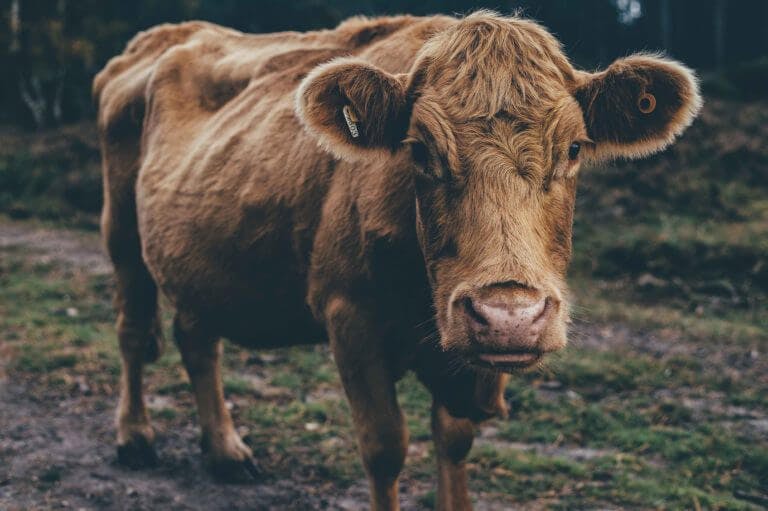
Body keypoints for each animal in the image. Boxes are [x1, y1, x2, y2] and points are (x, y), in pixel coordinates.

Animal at [93, 11, 701, 510]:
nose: (509, 317)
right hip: (120, 232)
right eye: (420, 150)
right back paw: (135, 438)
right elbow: (385, 446)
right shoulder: (349, 317)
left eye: (574, 148)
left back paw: (225, 451)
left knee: (197, 339)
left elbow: (454, 441)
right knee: (130, 330)